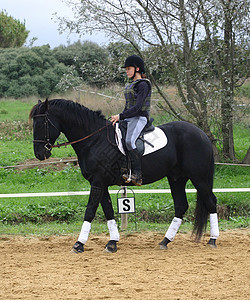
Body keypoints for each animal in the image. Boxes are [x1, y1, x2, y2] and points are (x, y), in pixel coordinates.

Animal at [29, 99, 219, 252]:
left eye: (41, 123)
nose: (39, 154)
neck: (95, 139)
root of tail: (201, 134)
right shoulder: (100, 183)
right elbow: (108, 211)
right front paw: (112, 242)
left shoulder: (97, 182)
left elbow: (90, 210)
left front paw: (79, 244)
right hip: (176, 178)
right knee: (181, 206)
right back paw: (165, 241)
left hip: (199, 178)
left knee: (210, 201)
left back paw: (212, 240)